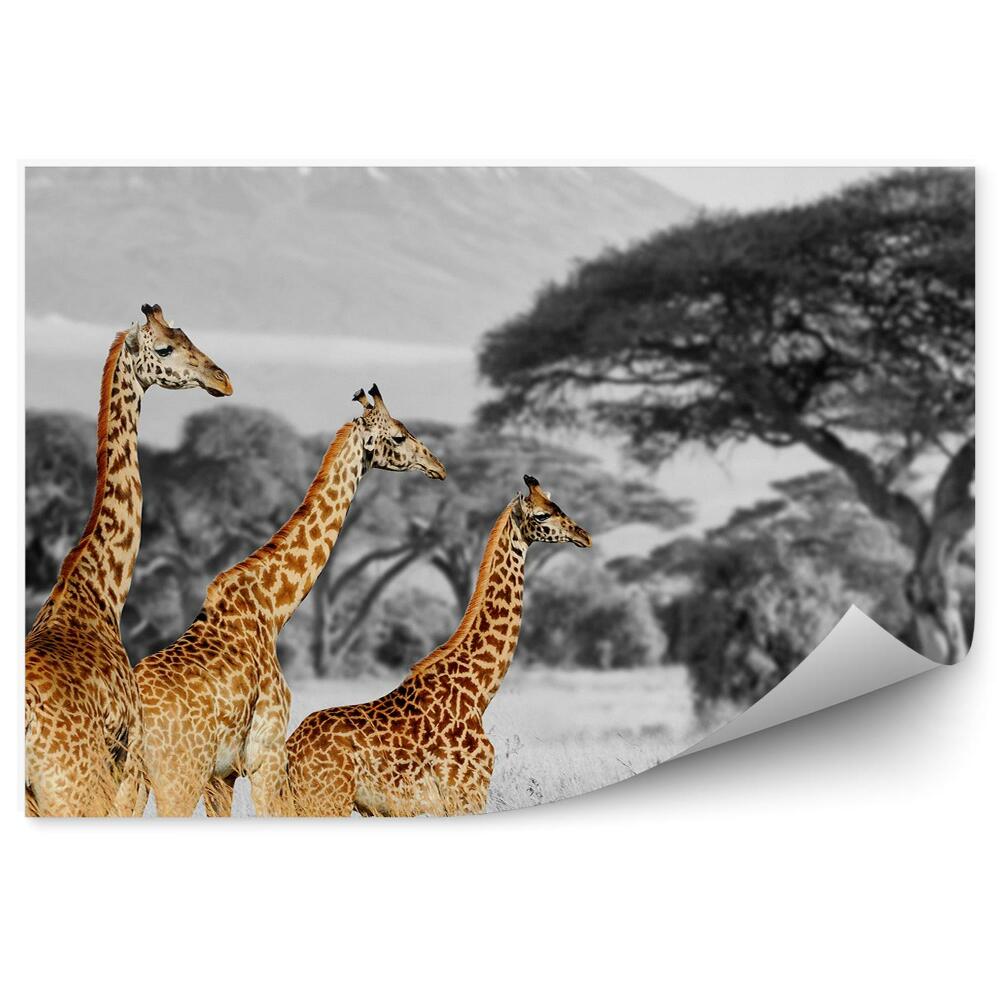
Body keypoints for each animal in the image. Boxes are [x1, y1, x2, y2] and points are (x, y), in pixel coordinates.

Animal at [134, 385, 447, 817]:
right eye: (399, 437)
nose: (438, 466)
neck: (271, 609)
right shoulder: (265, 754)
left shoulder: (222, 775)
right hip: (177, 775)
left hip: (128, 779)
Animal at [286, 474, 592, 817]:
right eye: (541, 515)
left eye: (557, 505)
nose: (584, 535)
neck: (477, 692)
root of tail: (289, 752)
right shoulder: (466, 794)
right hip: (326, 800)